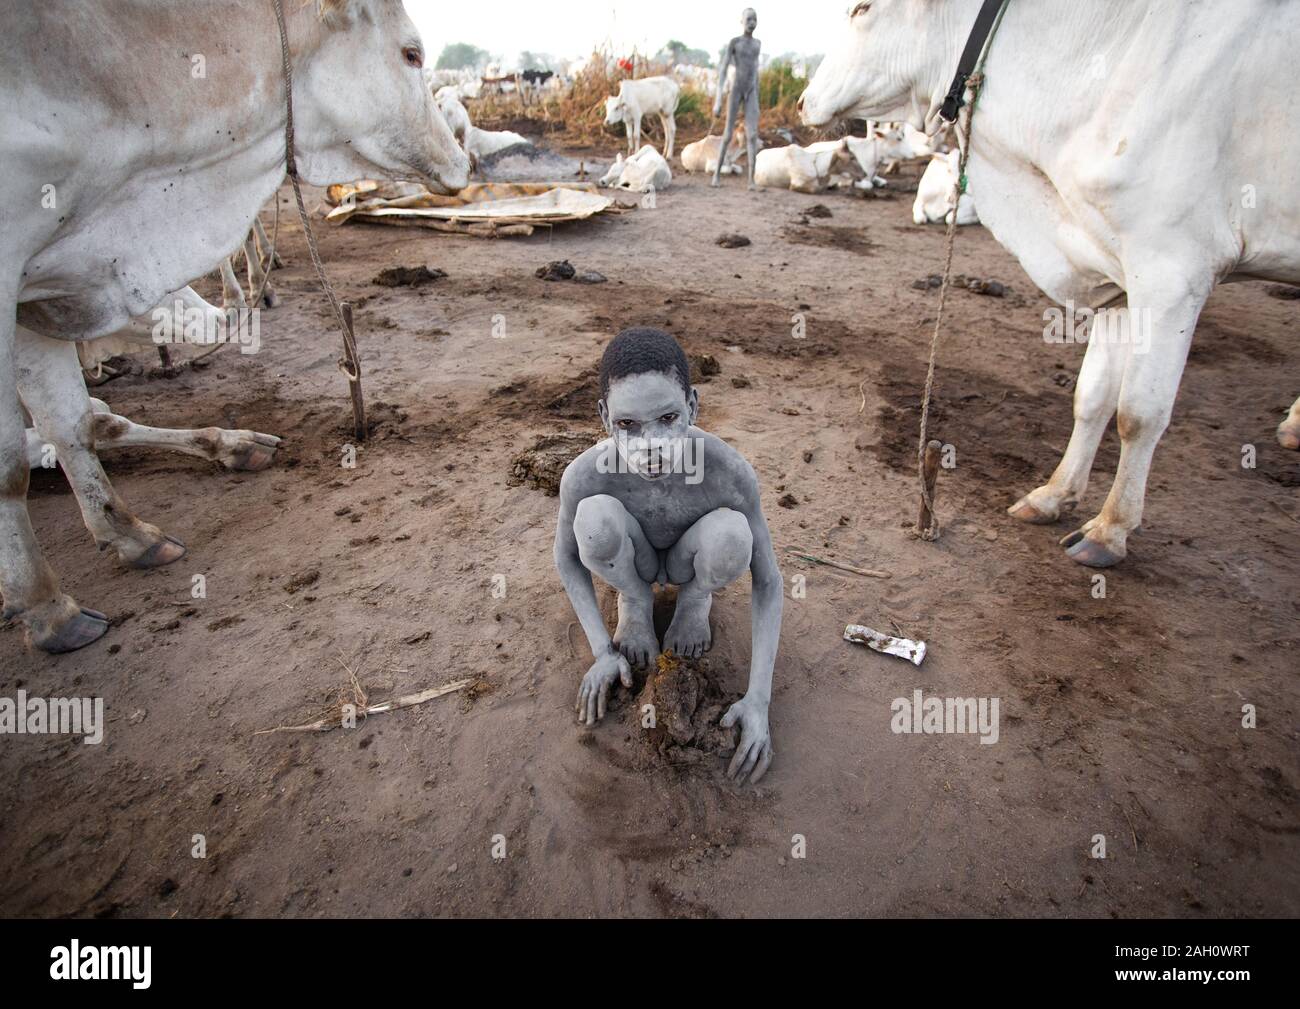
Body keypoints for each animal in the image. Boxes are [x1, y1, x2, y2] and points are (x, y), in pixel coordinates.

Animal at [0, 0, 467, 655]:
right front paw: (47, 607)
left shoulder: (34, 297)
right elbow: (18, 460)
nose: (462, 160)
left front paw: (130, 535)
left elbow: (75, 425)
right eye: (411, 53)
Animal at [800, 0, 1300, 566]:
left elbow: (1138, 413)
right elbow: (1092, 396)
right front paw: (1053, 495)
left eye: (862, 8)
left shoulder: (1173, 270)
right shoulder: (1117, 275)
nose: (803, 100)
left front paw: (1109, 529)